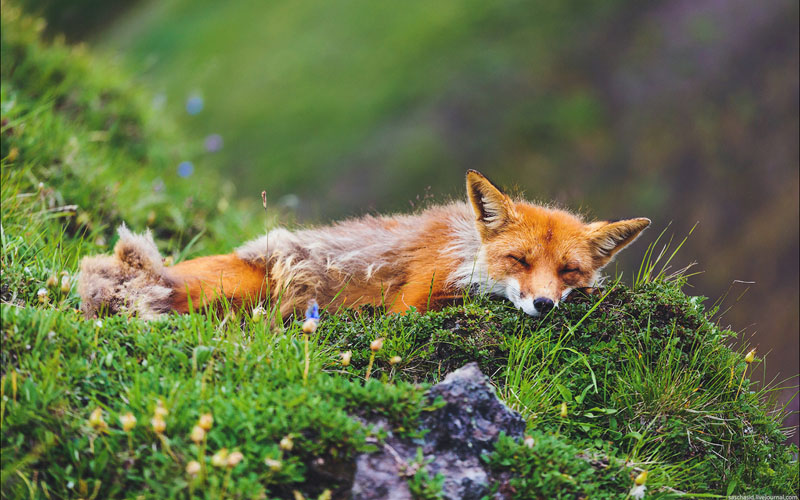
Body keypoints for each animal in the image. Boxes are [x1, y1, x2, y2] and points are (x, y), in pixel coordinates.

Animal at [78, 170, 648, 320]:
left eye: (569, 272)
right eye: (519, 260)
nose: (546, 304)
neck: (465, 253)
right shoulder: (412, 302)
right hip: (236, 289)